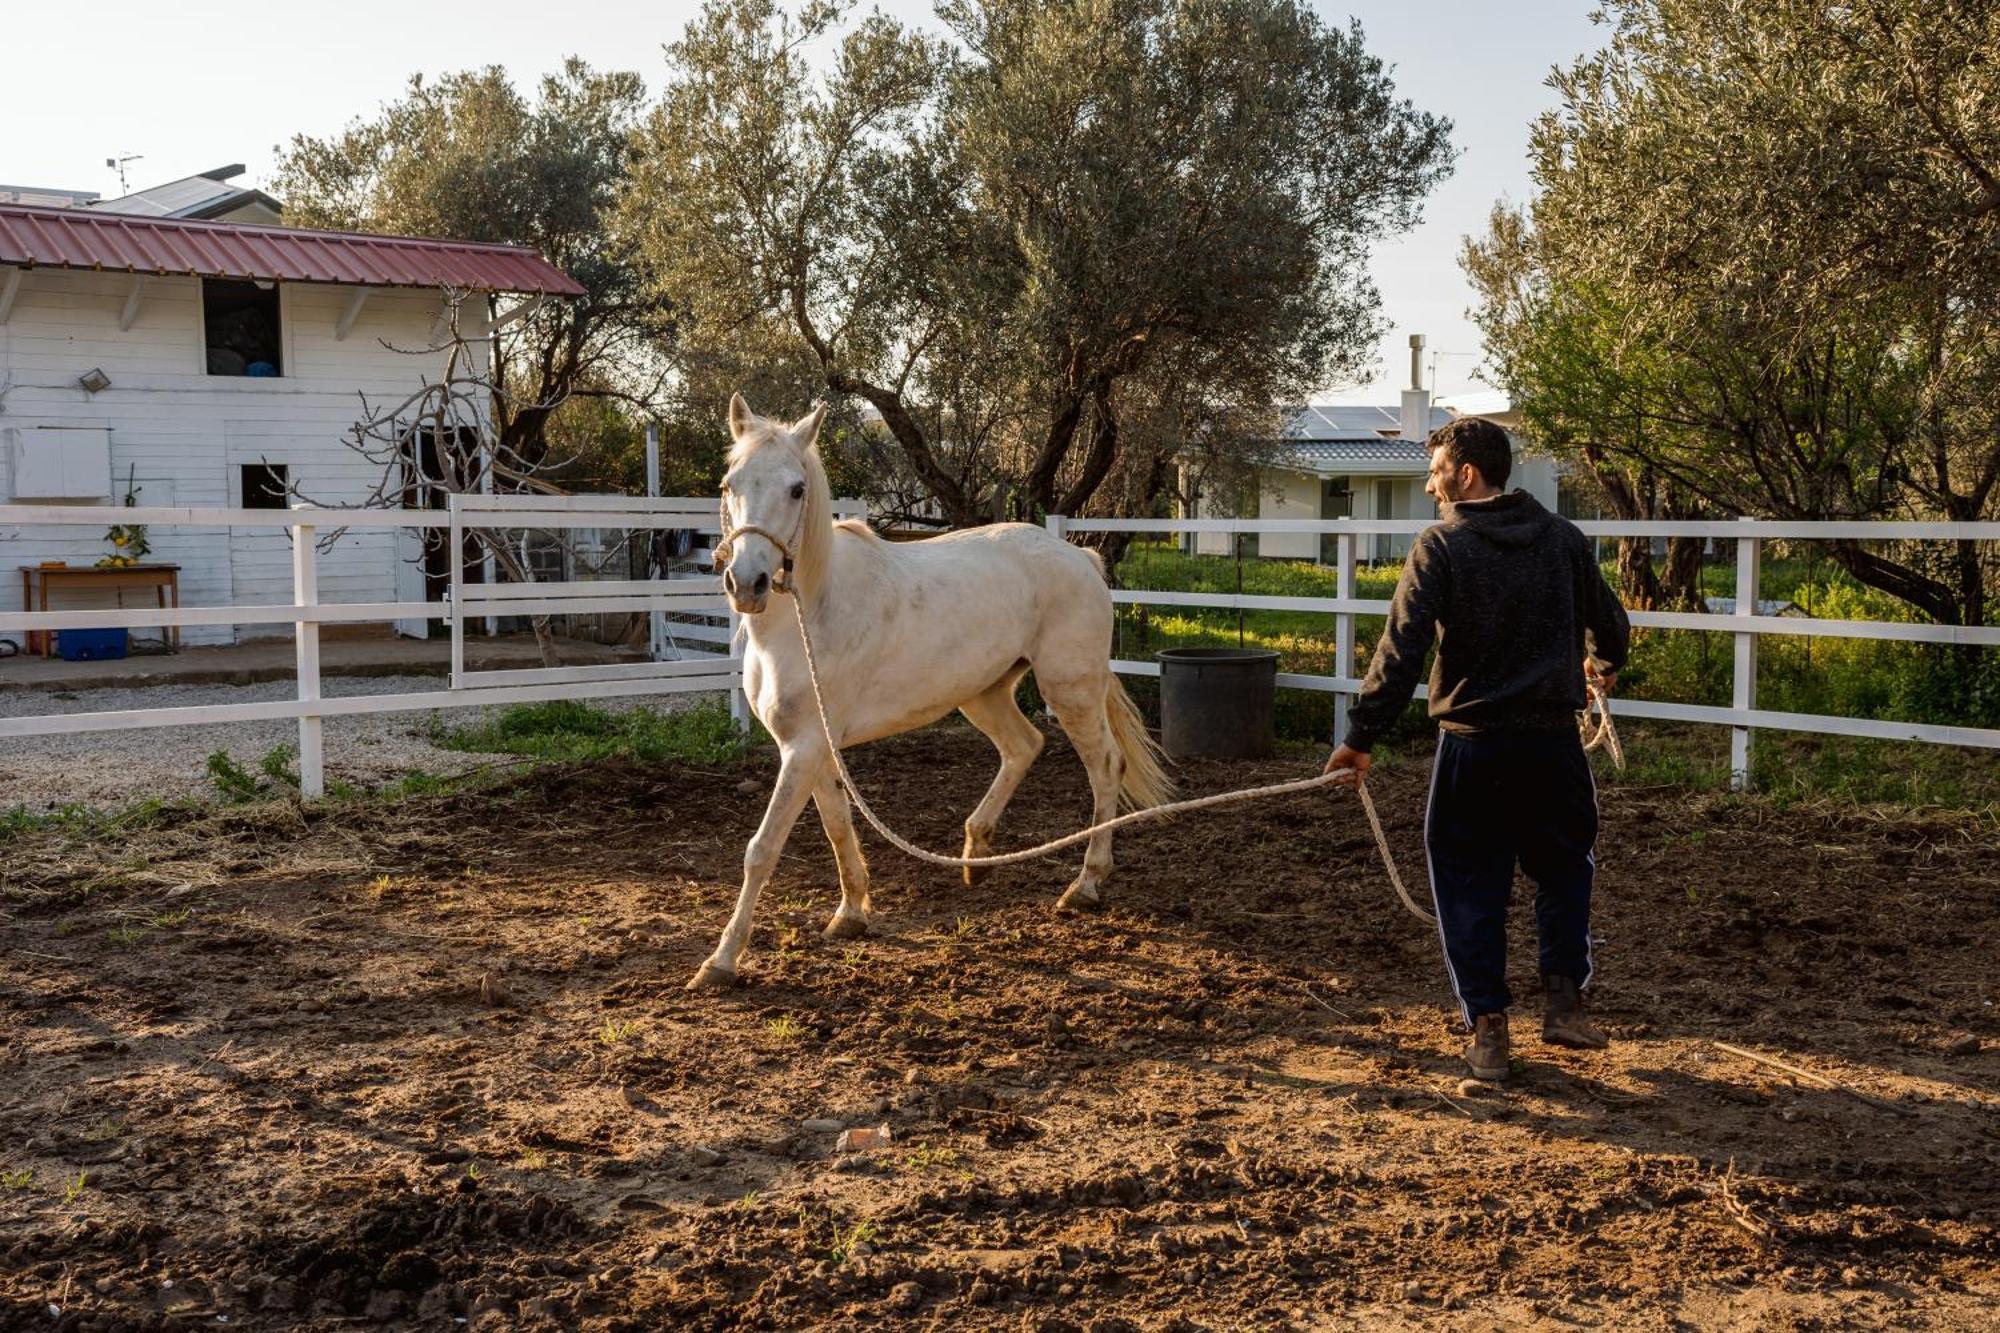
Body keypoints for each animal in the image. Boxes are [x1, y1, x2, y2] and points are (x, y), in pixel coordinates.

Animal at [692, 392, 1168, 984]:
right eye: (729, 483)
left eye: (797, 488)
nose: (747, 584)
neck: (809, 616)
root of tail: (1081, 558)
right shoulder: (810, 747)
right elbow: (837, 825)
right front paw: (851, 915)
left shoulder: (803, 749)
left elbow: (763, 849)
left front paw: (721, 961)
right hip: (984, 693)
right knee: (1024, 745)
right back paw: (975, 854)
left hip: (1069, 689)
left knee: (1104, 766)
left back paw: (1085, 885)